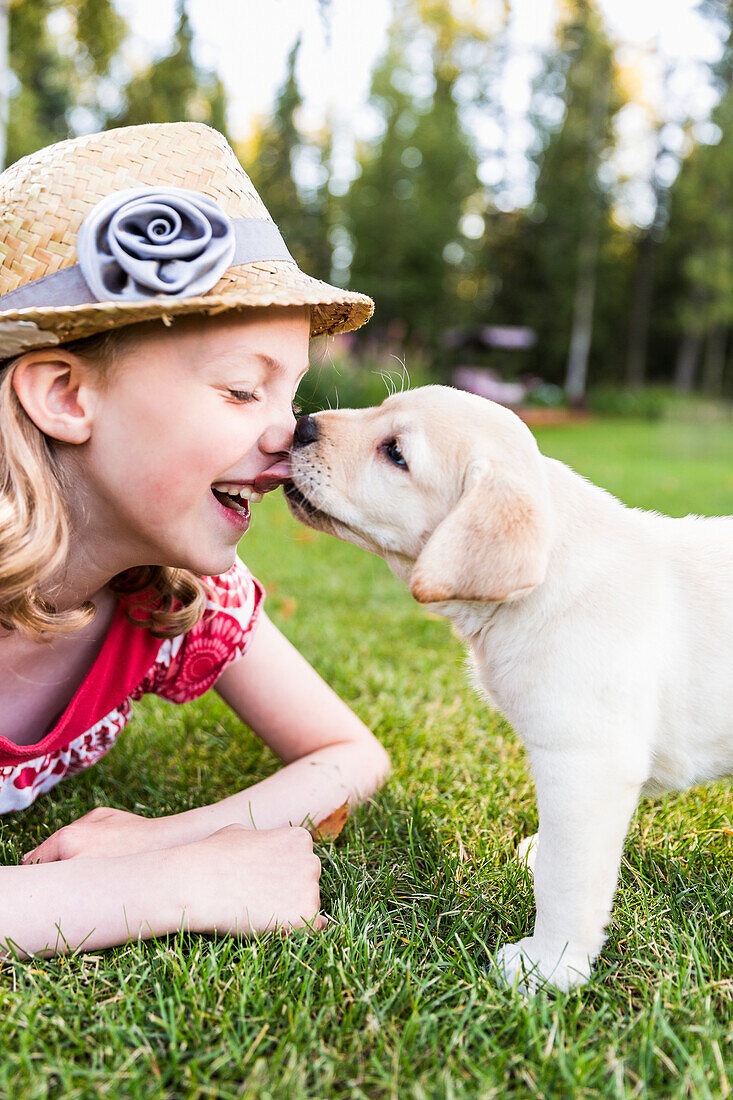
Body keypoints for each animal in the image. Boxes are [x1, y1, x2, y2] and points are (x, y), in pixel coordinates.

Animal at [286, 389, 730, 998]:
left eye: (395, 453)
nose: (300, 426)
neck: (546, 581)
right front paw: (540, 858)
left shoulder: (586, 761)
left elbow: (568, 880)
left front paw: (549, 967)